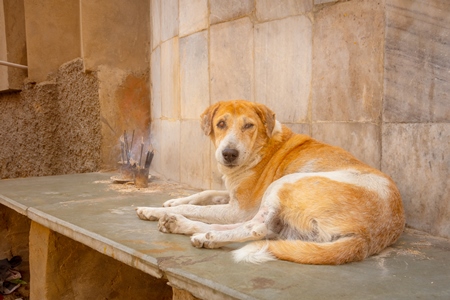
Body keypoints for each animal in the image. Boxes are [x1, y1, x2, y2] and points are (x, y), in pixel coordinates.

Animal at [136, 99, 404, 264]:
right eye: (221, 124)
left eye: (248, 125)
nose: (229, 154)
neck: (260, 148)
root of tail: (366, 239)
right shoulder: (235, 198)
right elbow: (205, 194)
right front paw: (169, 204)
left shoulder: (238, 208)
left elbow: (200, 206)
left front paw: (153, 208)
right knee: (255, 228)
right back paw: (181, 225)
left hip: (286, 183)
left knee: (256, 229)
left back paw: (204, 236)